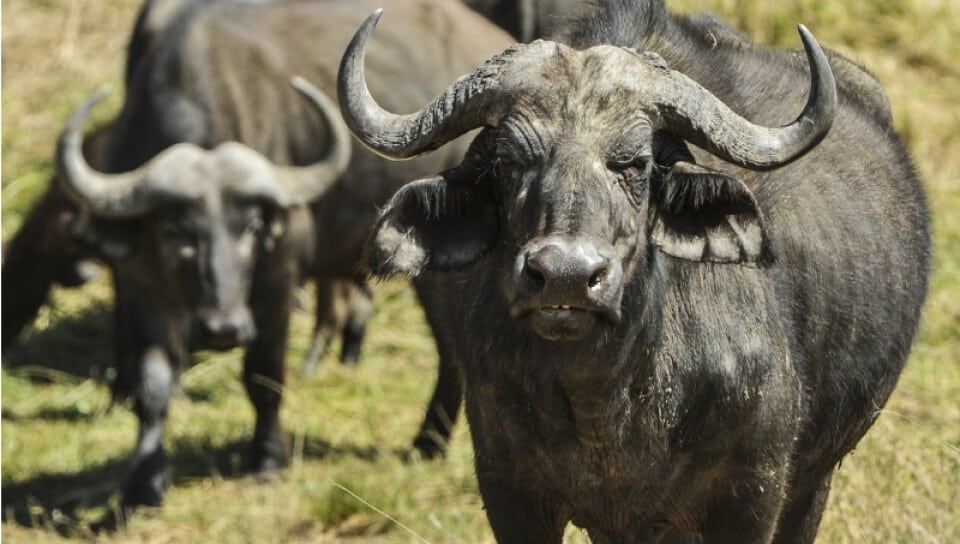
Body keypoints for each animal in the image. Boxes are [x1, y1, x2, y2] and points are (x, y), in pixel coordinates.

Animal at [337, 0, 930, 542]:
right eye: (510, 160)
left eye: (635, 163)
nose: (566, 277)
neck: (606, 400)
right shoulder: (509, 488)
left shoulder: (753, 492)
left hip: (813, 481)